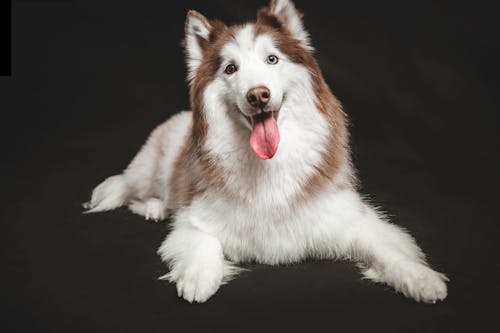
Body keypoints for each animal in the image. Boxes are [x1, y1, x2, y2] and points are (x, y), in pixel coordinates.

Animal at [84, 0, 448, 302]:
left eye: (272, 59)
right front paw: (199, 278)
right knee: (132, 188)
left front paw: (421, 279)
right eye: (230, 68)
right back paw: (155, 208)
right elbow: (202, 239)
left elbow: (387, 248)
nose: (258, 95)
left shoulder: (346, 218)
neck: (269, 163)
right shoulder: (196, 217)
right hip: (149, 169)